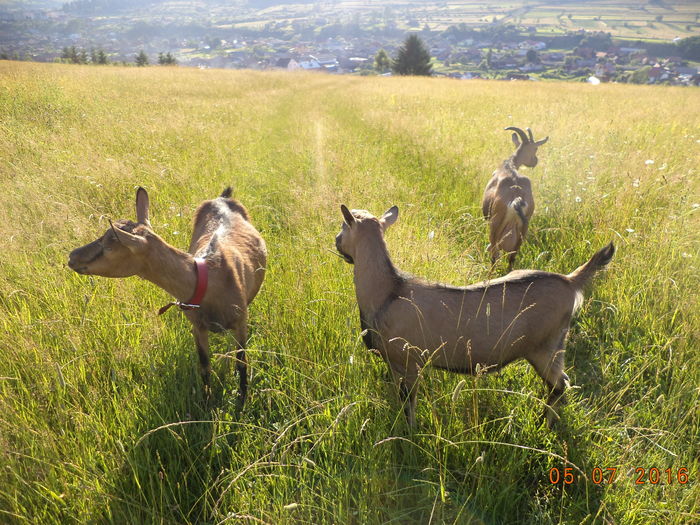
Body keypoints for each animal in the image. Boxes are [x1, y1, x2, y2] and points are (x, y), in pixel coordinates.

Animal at [68, 186, 266, 404]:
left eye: (108, 246)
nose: (72, 256)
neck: (210, 280)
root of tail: (223, 197)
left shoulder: (241, 321)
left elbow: (242, 363)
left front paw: (241, 400)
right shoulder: (197, 326)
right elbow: (204, 366)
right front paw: (206, 402)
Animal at [336, 203, 616, 428]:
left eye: (342, 227)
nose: (336, 241)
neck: (388, 291)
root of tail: (570, 281)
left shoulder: (408, 361)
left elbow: (409, 404)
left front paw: (409, 433)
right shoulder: (395, 365)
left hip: (545, 347)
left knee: (559, 385)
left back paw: (544, 423)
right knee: (562, 383)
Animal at [482, 125, 548, 268]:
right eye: (535, 148)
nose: (535, 161)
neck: (509, 166)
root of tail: (516, 198)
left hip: (495, 226)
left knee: (494, 256)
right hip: (522, 231)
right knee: (511, 259)